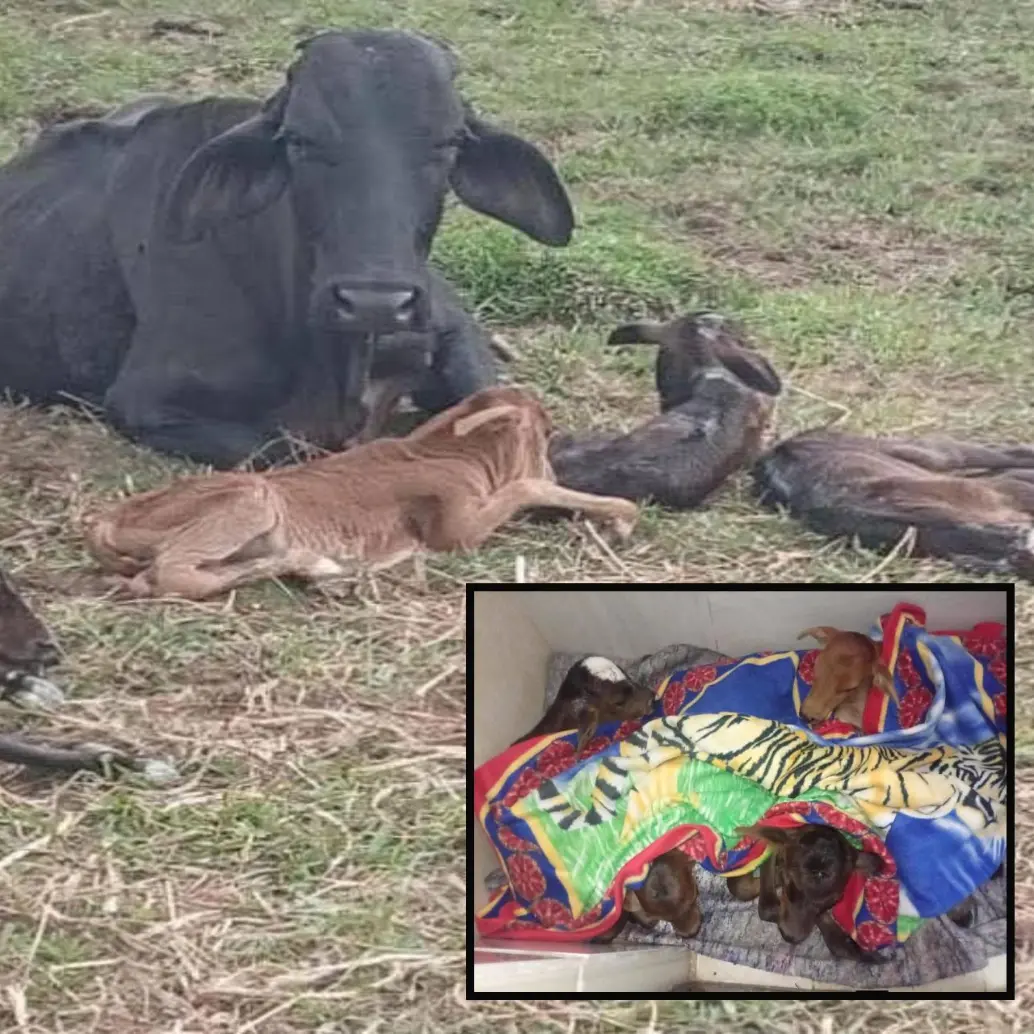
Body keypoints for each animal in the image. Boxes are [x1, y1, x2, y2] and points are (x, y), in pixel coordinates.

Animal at [0, 28, 575, 468]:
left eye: (449, 142)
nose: (374, 301)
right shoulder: (144, 400)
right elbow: (292, 447)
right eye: (299, 140)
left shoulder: (454, 330)